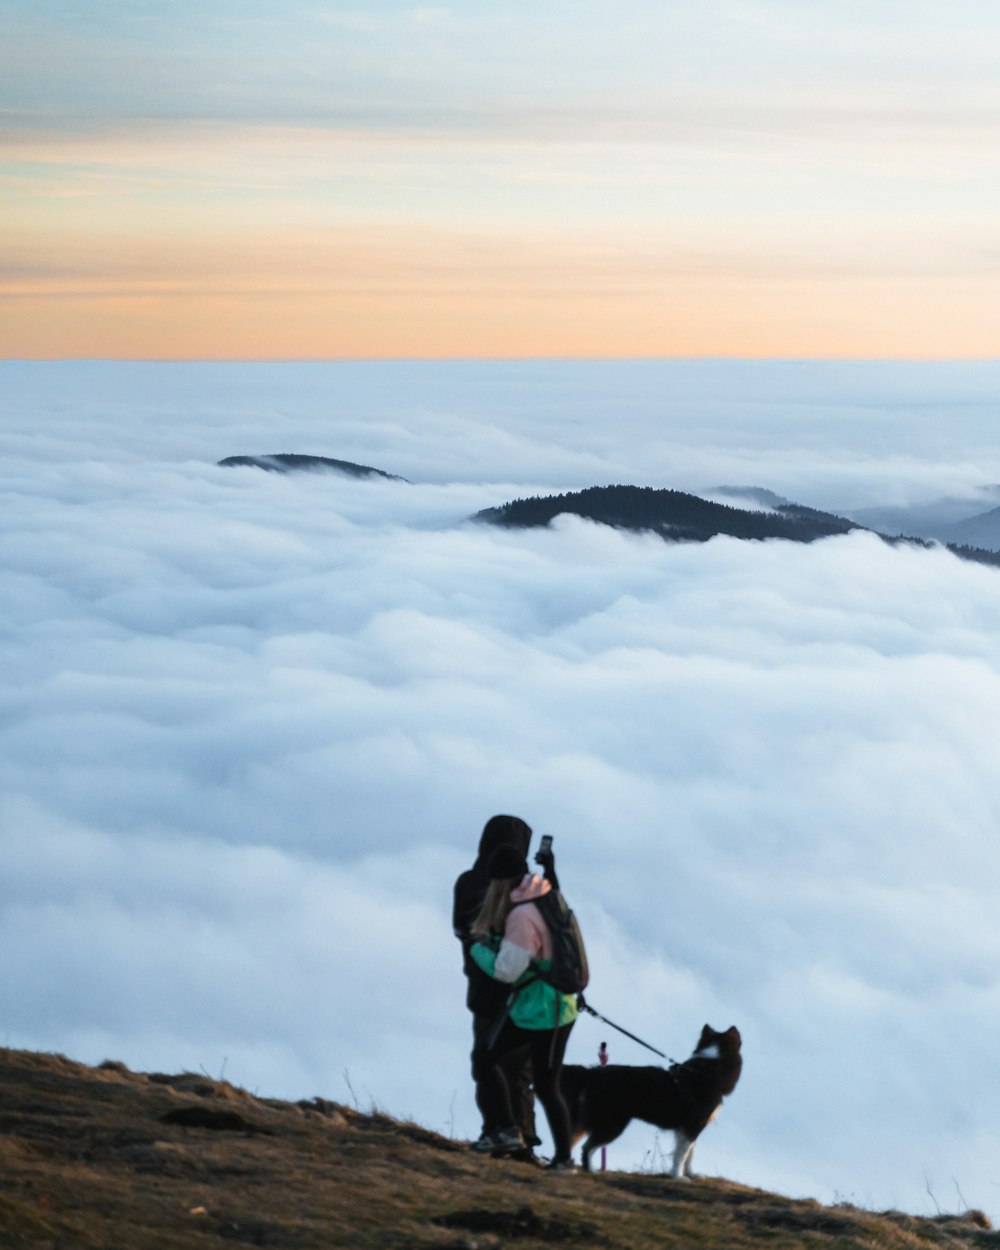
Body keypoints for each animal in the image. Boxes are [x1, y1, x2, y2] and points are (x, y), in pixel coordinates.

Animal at [562, 1020, 740, 1175]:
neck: (706, 1071)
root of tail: (591, 1072)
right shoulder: (692, 1125)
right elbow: (682, 1154)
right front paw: (678, 1176)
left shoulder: (689, 1127)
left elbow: (689, 1154)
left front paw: (691, 1174)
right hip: (613, 1123)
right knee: (587, 1147)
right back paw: (591, 1170)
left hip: (591, 1119)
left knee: (573, 1139)